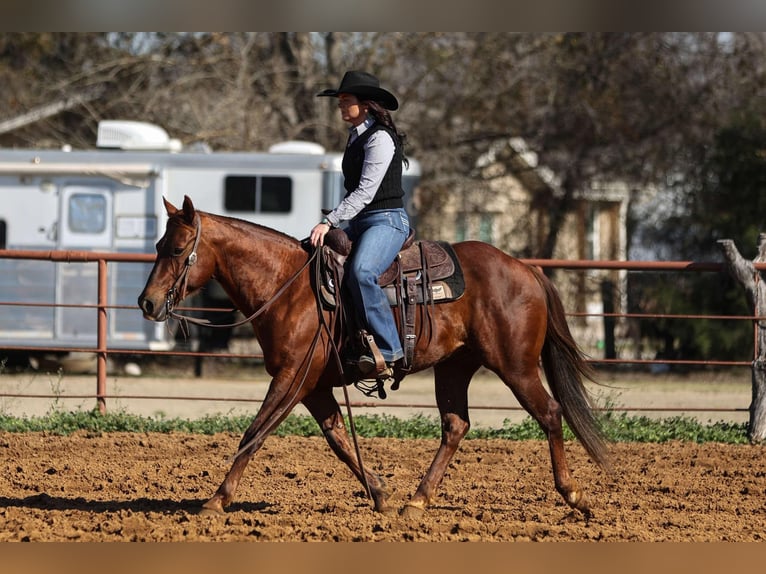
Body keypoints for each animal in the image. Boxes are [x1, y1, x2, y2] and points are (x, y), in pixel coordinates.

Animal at [140, 196, 612, 520]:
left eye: (178, 250)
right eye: (159, 244)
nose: (147, 303)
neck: (289, 286)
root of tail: (525, 268)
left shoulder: (292, 378)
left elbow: (253, 434)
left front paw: (216, 500)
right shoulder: (314, 385)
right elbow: (337, 439)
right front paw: (381, 494)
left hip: (515, 365)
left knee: (550, 412)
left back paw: (574, 494)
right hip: (455, 366)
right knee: (456, 425)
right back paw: (416, 502)